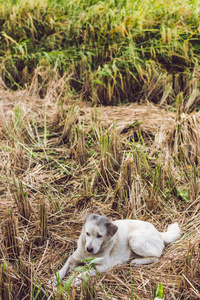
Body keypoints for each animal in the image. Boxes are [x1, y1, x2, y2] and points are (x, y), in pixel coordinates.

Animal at [52, 214, 181, 284]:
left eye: (99, 236)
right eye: (87, 233)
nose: (89, 248)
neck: (90, 255)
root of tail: (159, 233)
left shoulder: (103, 267)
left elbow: (83, 273)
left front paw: (76, 281)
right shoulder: (73, 258)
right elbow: (63, 268)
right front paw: (55, 280)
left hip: (134, 239)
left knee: (156, 256)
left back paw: (136, 261)